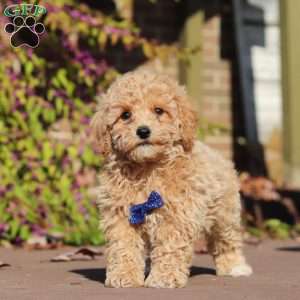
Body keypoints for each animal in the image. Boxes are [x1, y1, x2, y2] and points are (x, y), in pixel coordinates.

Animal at [90, 70, 252, 288]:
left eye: (159, 111)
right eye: (125, 115)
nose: (143, 131)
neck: (148, 168)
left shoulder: (177, 216)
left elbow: (170, 247)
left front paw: (163, 277)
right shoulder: (121, 215)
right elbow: (123, 247)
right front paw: (124, 276)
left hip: (225, 214)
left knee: (226, 241)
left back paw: (235, 266)